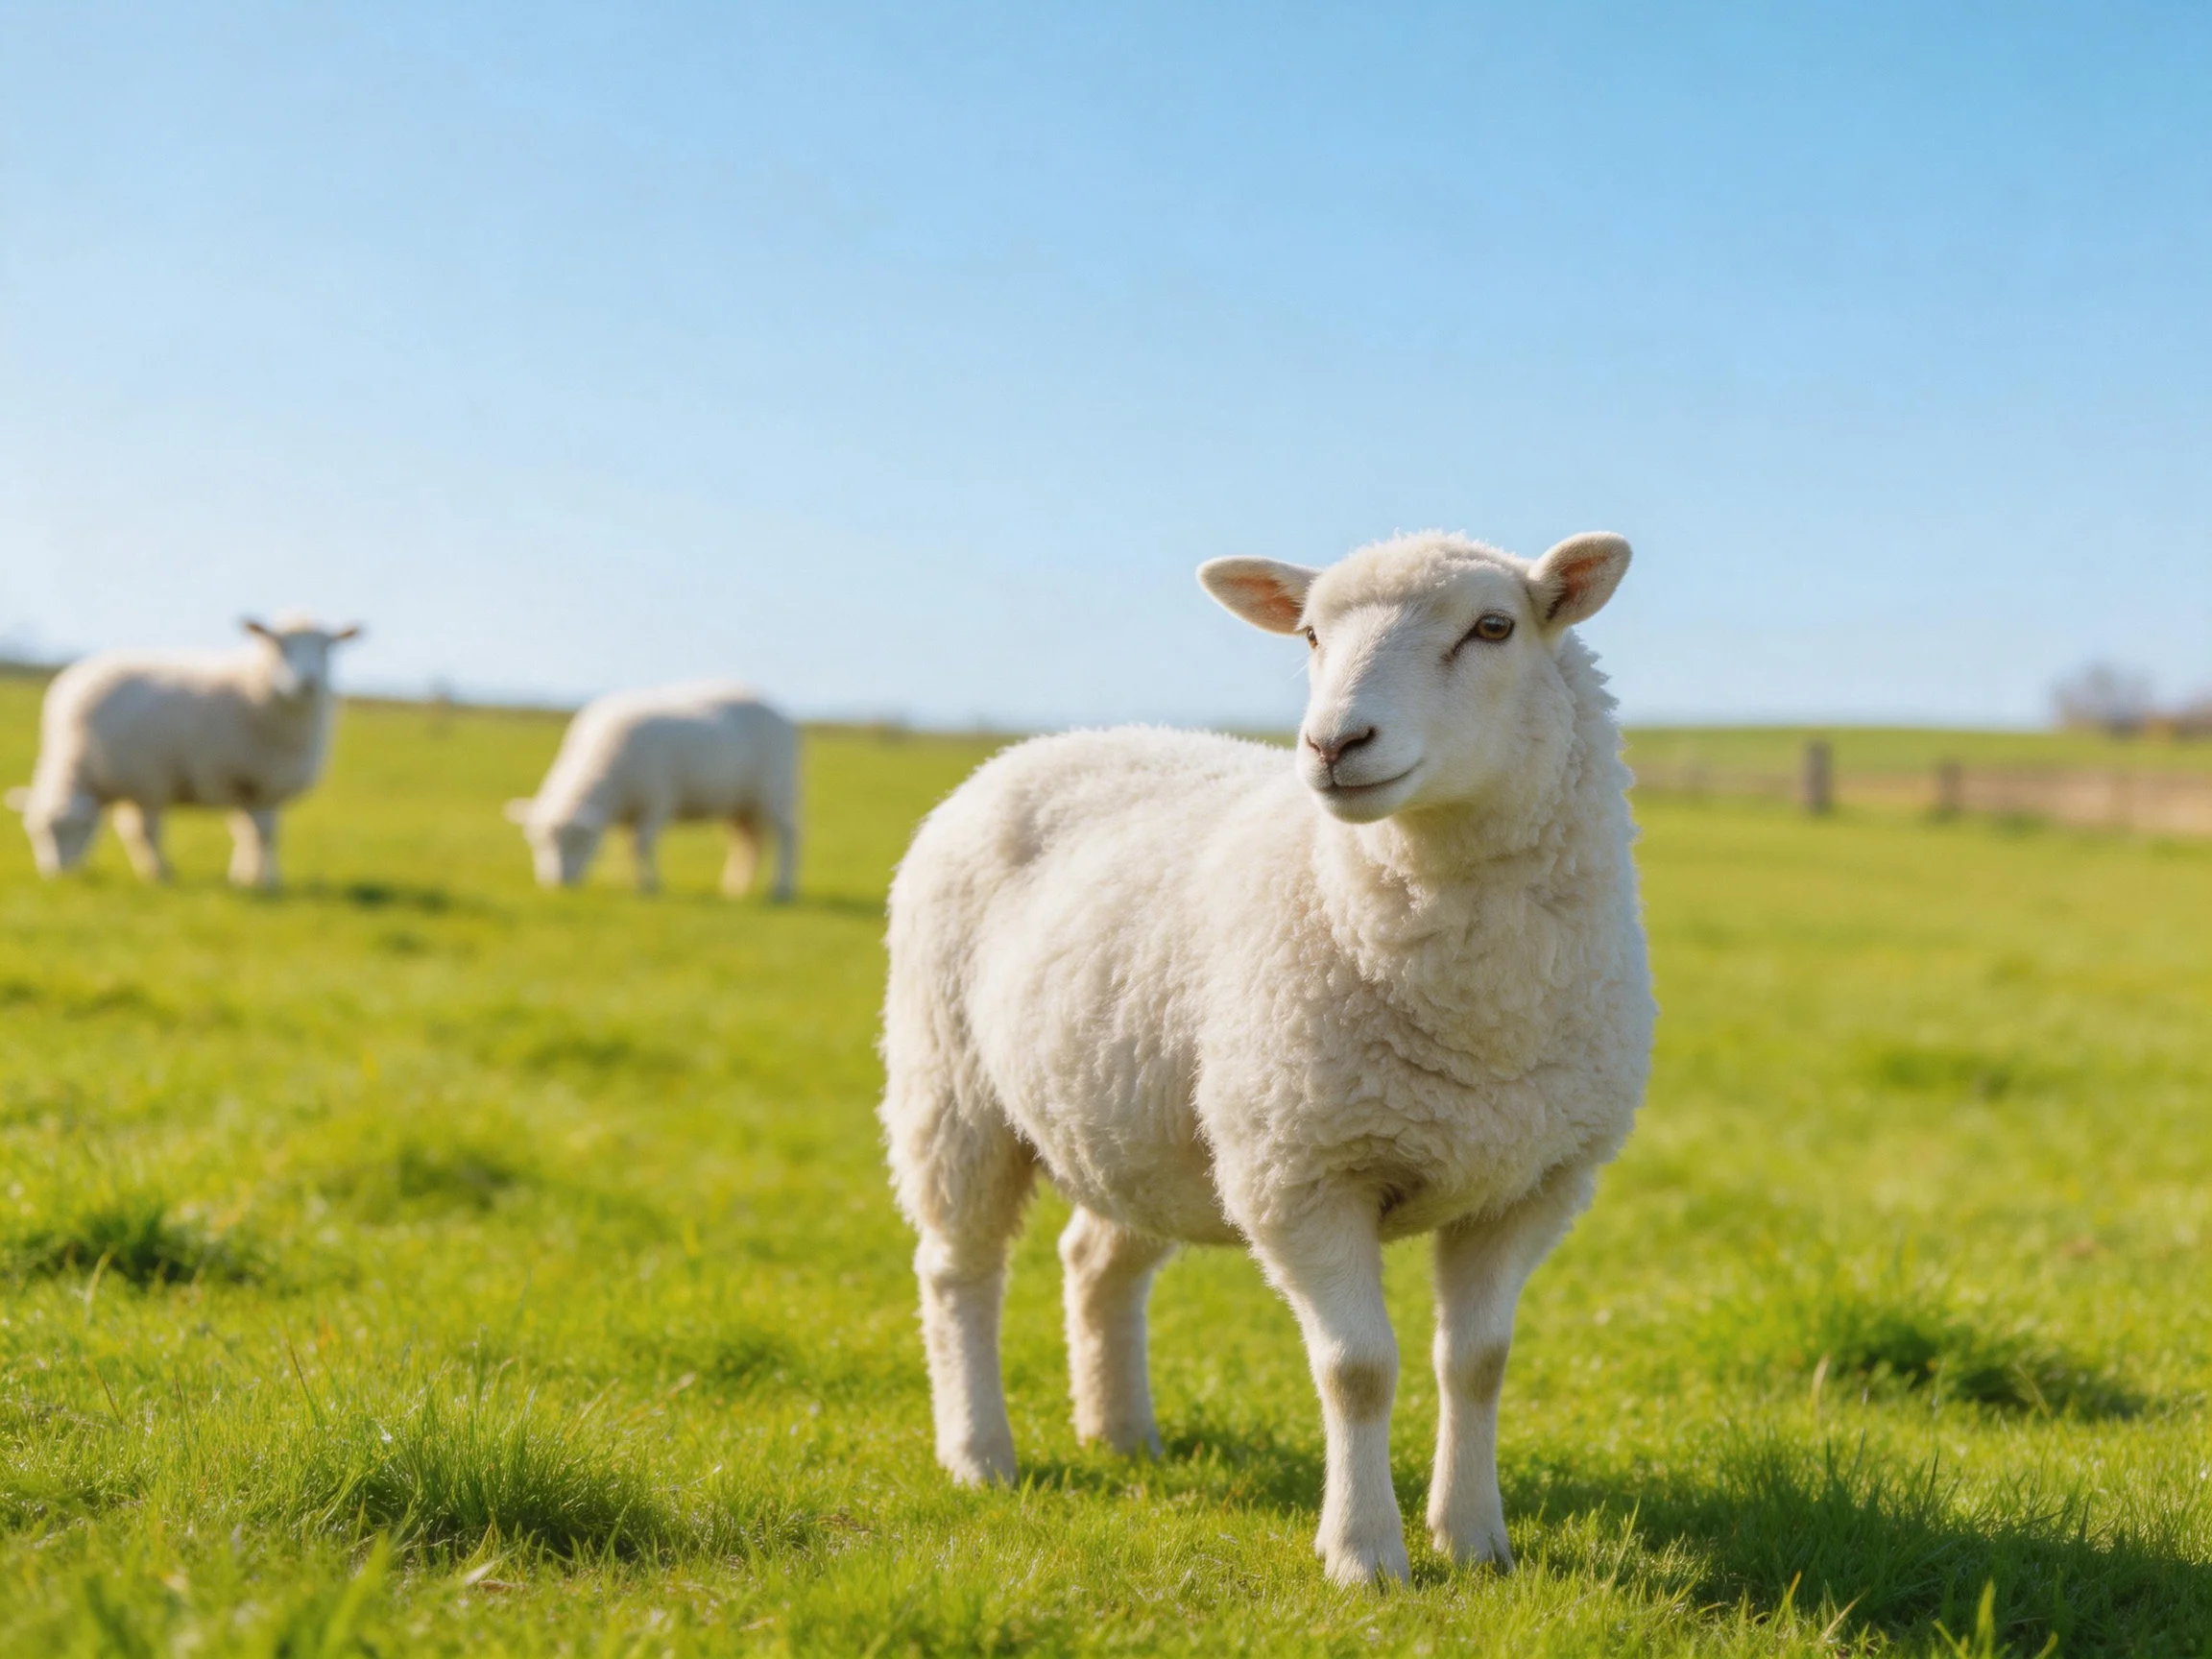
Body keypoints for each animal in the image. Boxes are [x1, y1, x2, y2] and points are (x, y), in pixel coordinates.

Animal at [6, 617, 361, 887]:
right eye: (37, 832)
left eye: (326, 648)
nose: (56, 876)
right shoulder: (148, 783)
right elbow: (143, 833)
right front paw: (162, 873)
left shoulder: (154, 781)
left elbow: (255, 834)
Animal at [503, 681, 799, 899]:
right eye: (535, 842)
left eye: (579, 840)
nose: (557, 885)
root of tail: (774, 707)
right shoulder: (629, 812)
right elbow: (630, 849)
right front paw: (634, 883)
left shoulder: (657, 801)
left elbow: (643, 845)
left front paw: (650, 887)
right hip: (740, 805)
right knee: (749, 844)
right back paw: (735, 888)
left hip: (778, 790)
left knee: (788, 836)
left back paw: (781, 890)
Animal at [879, 530, 1653, 1586]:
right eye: (1312, 635)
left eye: (1493, 627)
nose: (1333, 745)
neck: (1477, 1013)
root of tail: (1038, 745)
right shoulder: (1303, 1173)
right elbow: (1359, 1370)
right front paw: (1365, 1554)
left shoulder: (1528, 1185)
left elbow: (1478, 1363)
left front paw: (1474, 1540)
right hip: (952, 1088)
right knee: (957, 1272)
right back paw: (978, 1453)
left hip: (1145, 1122)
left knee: (1096, 1260)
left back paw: (1121, 1434)